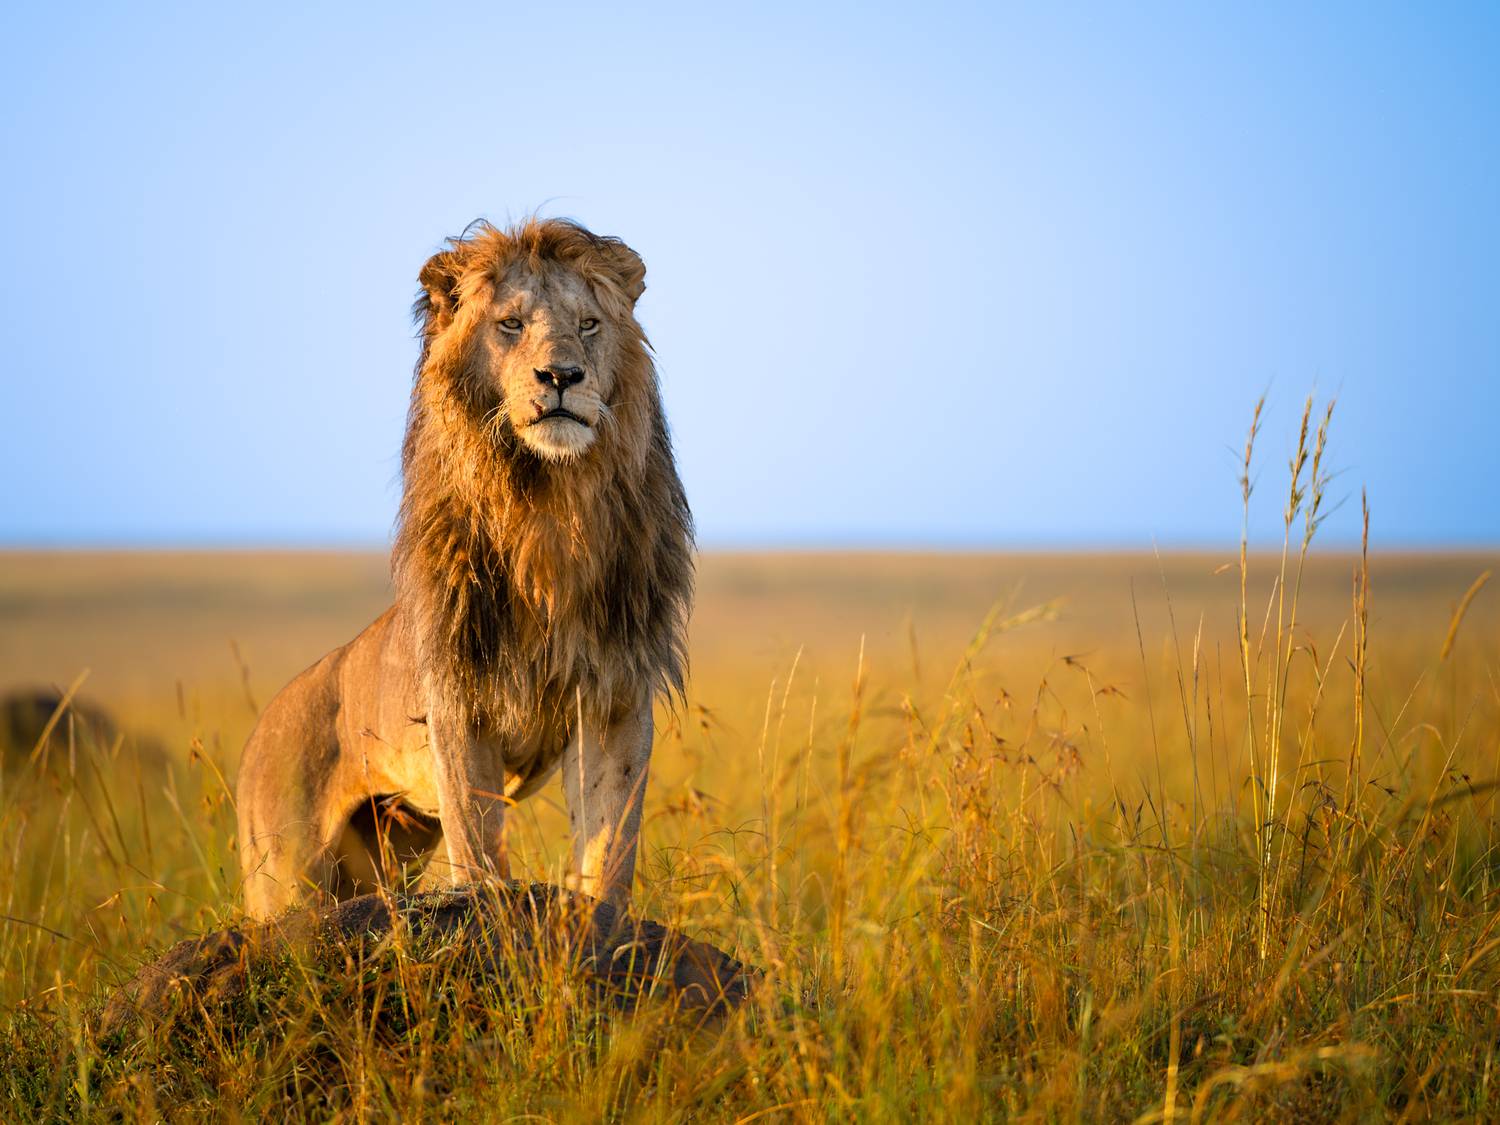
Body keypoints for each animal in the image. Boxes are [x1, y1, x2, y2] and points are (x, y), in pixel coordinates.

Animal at [236, 218, 693, 921]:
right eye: (510, 324)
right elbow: (478, 847)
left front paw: (603, 927)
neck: (547, 509)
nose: (561, 375)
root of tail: (257, 734)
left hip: (387, 845)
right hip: (284, 874)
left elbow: (610, 849)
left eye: (588, 324)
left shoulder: (613, 697)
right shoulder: (458, 704)